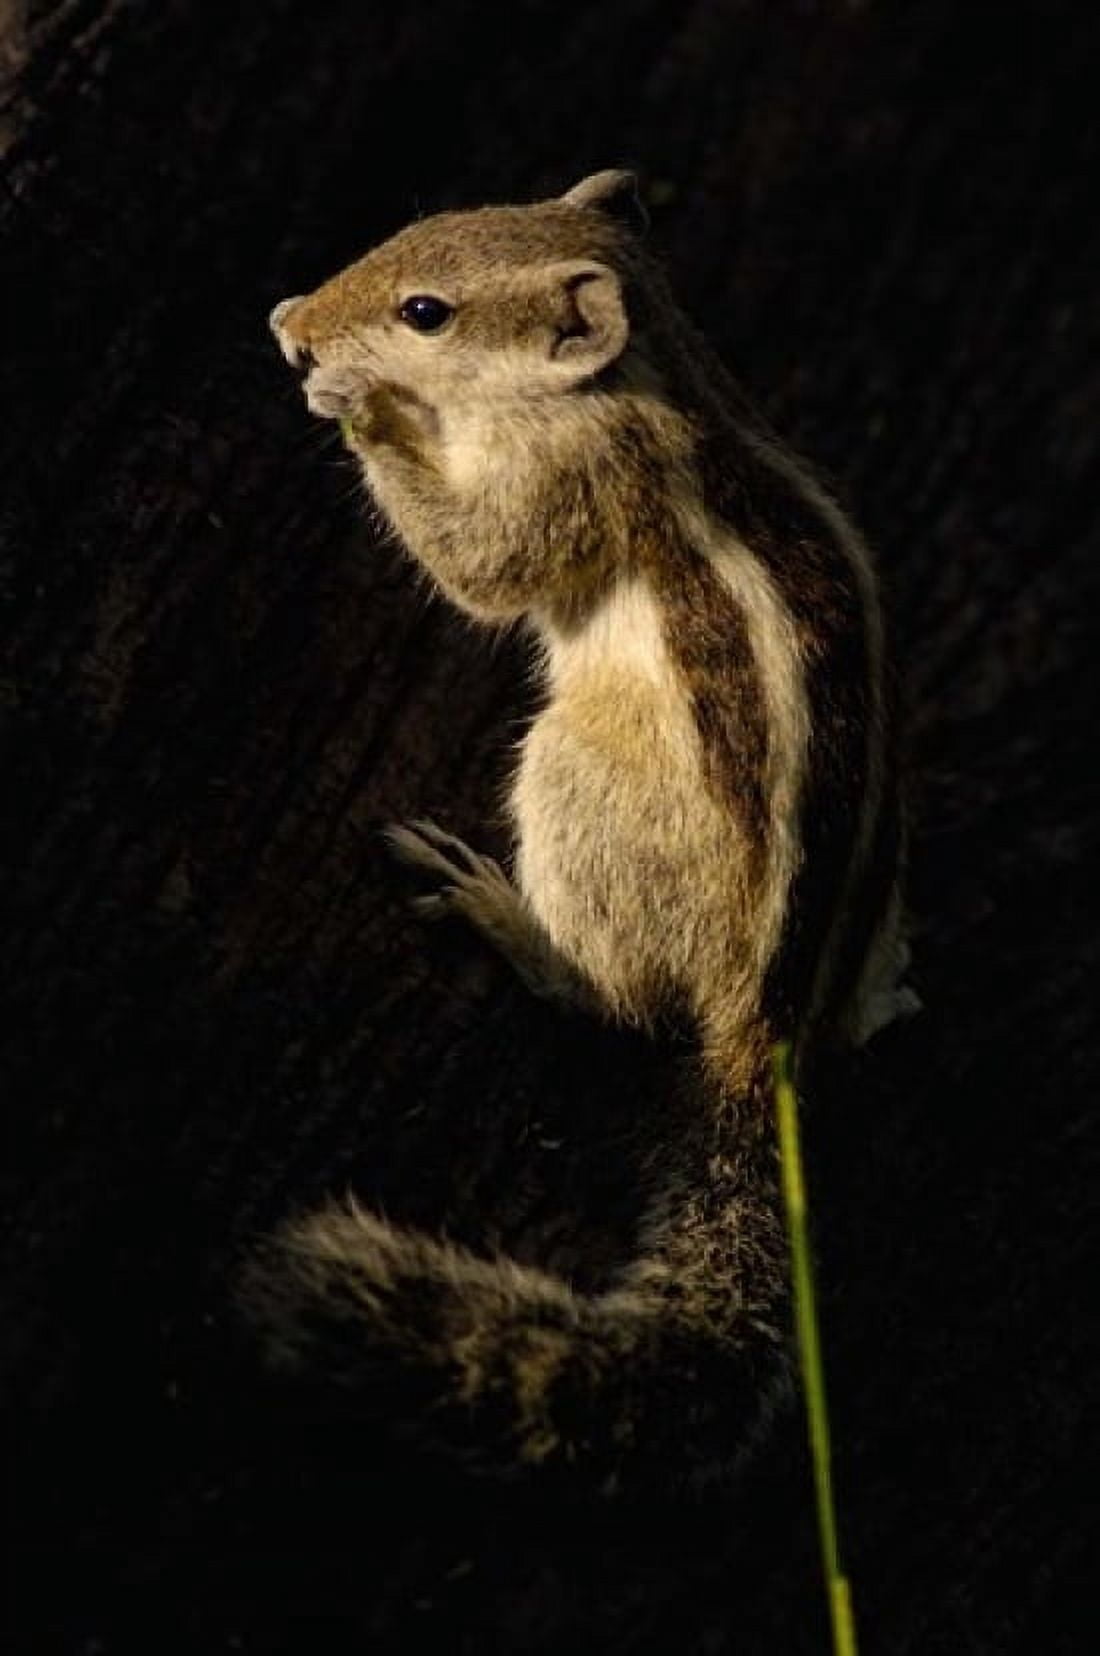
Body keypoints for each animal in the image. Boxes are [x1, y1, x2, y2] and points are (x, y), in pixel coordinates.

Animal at [247, 169, 918, 1490]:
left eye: (424, 311)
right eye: (411, 231)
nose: (292, 329)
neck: (645, 367)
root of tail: (764, 1033)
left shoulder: (565, 477)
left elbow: (480, 566)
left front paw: (361, 408)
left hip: (571, 779)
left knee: (612, 999)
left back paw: (503, 917)